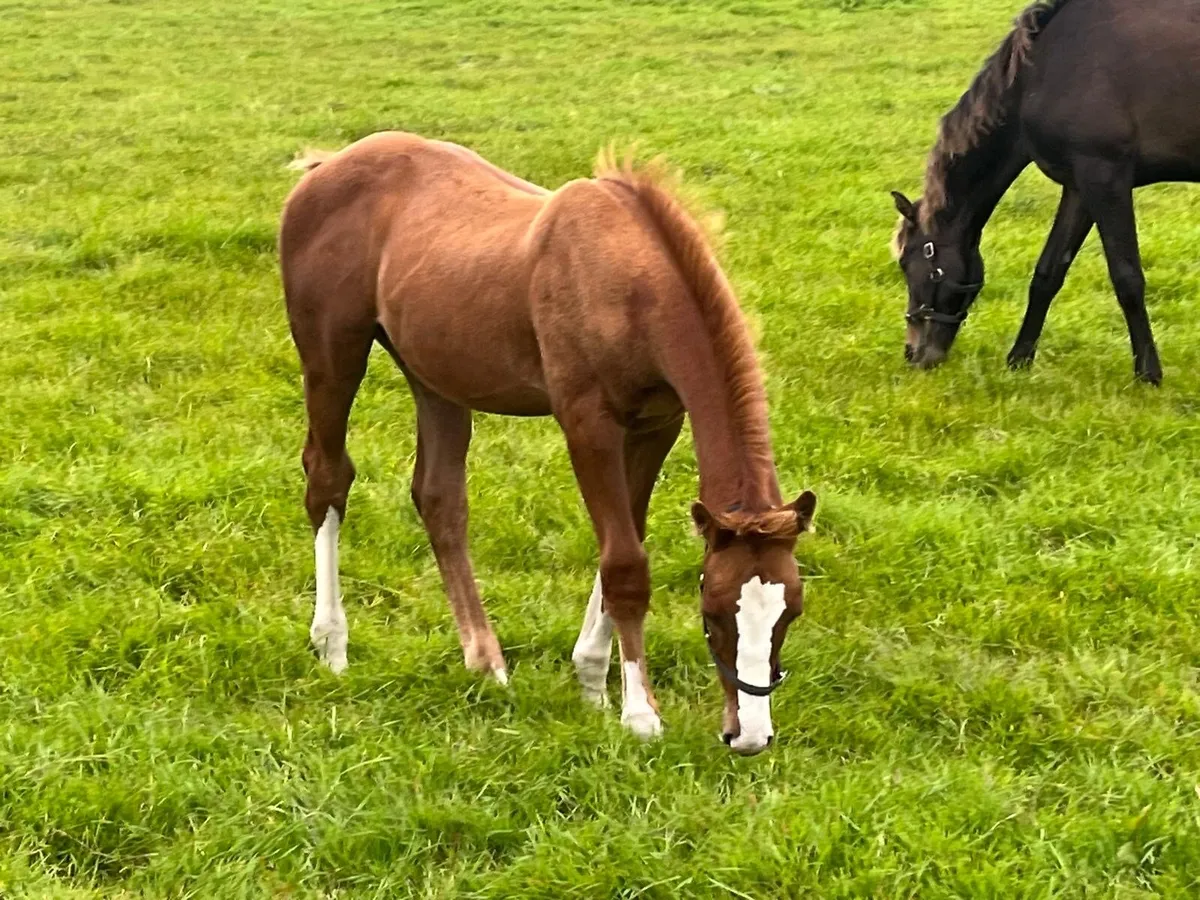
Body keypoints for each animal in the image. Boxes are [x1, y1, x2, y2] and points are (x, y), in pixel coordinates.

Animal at [279, 132, 816, 755]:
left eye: (789, 613)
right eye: (711, 614)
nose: (748, 735)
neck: (632, 282)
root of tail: (326, 168)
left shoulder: (657, 423)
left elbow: (624, 544)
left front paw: (592, 681)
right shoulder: (587, 422)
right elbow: (625, 563)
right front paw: (639, 714)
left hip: (435, 374)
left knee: (439, 499)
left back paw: (485, 662)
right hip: (331, 356)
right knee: (327, 479)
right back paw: (332, 644)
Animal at [891, 0, 1200, 384]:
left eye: (906, 263)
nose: (913, 352)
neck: (1043, 70)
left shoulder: (1104, 177)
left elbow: (1127, 278)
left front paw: (1148, 373)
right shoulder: (1079, 187)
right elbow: (1048, 273)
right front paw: (1019, 359)